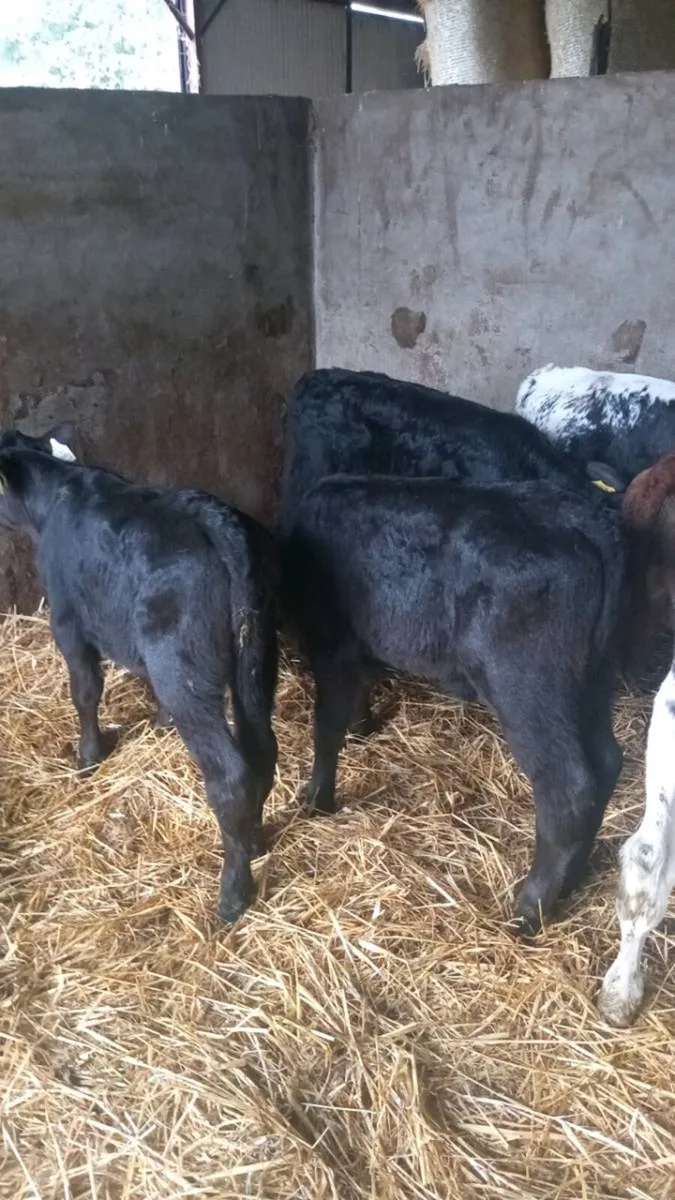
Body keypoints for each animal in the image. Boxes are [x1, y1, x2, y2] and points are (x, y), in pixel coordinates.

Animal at [0, 441, 278, 924]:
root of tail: (216, 521)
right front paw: (160, 721)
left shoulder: (68, 622)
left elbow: (85, 691)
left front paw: (89, 754)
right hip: (256, 661)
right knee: (262, 750)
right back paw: (253, 842)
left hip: (184, 672)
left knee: (231, 776)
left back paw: (232, 894)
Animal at [283, 472, 626, 934]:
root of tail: (581, 517)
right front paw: (362, 725)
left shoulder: (331, 639)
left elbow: (327, 721)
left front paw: (316, 799)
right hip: (593, 679)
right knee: (606, 762)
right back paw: (569, 882)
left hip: (528, 687)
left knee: (568, 789)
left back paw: (528, 910)